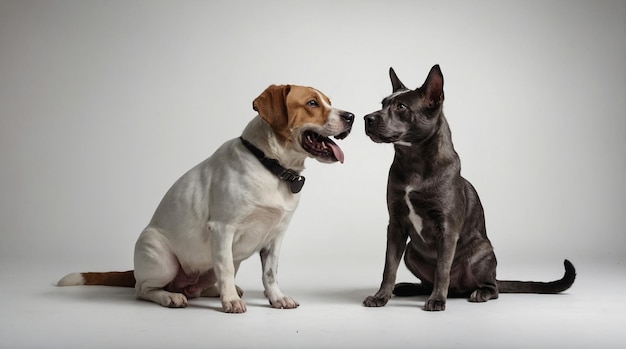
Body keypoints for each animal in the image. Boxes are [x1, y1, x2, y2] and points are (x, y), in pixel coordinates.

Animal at [58, 83, 354, 312]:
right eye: (312, 103)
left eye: (329, 101)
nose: (350, 115)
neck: (270, 166)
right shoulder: (223, 228)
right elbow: (224, 268)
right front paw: (230, 302)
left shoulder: (276, 236)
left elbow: (270, 273)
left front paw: (276, 299)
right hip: (161, 257)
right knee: (143, 289)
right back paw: (171, 296)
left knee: (201, 287)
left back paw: (212, 290)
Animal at [360, 64, 576, 310]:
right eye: (383, 103)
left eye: (401, 106)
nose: (367, 118)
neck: (413, 160)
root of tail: (459, 289)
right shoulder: (395, 225)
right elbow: (389, 267)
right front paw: (380, 296)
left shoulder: (447, 228)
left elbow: (442, 269)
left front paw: (437, 300)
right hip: (410, 252)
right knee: (427, 281)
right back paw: (410, 288)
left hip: (480, 253)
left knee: (492, 287)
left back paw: (477, 292)